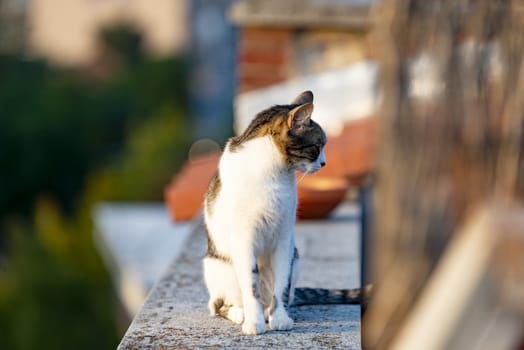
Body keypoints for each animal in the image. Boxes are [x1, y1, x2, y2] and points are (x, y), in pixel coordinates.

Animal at [204, 91, 364, 334]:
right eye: (317, 146)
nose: (324, 163)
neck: (273, 171)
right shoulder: (244, 238)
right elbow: (251, 284)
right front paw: (254, 322)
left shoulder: (284, 236)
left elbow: (282, 285)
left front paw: (279, 317)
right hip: (219, 266)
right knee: (218, 304)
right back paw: (241, 313)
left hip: (295, 257)